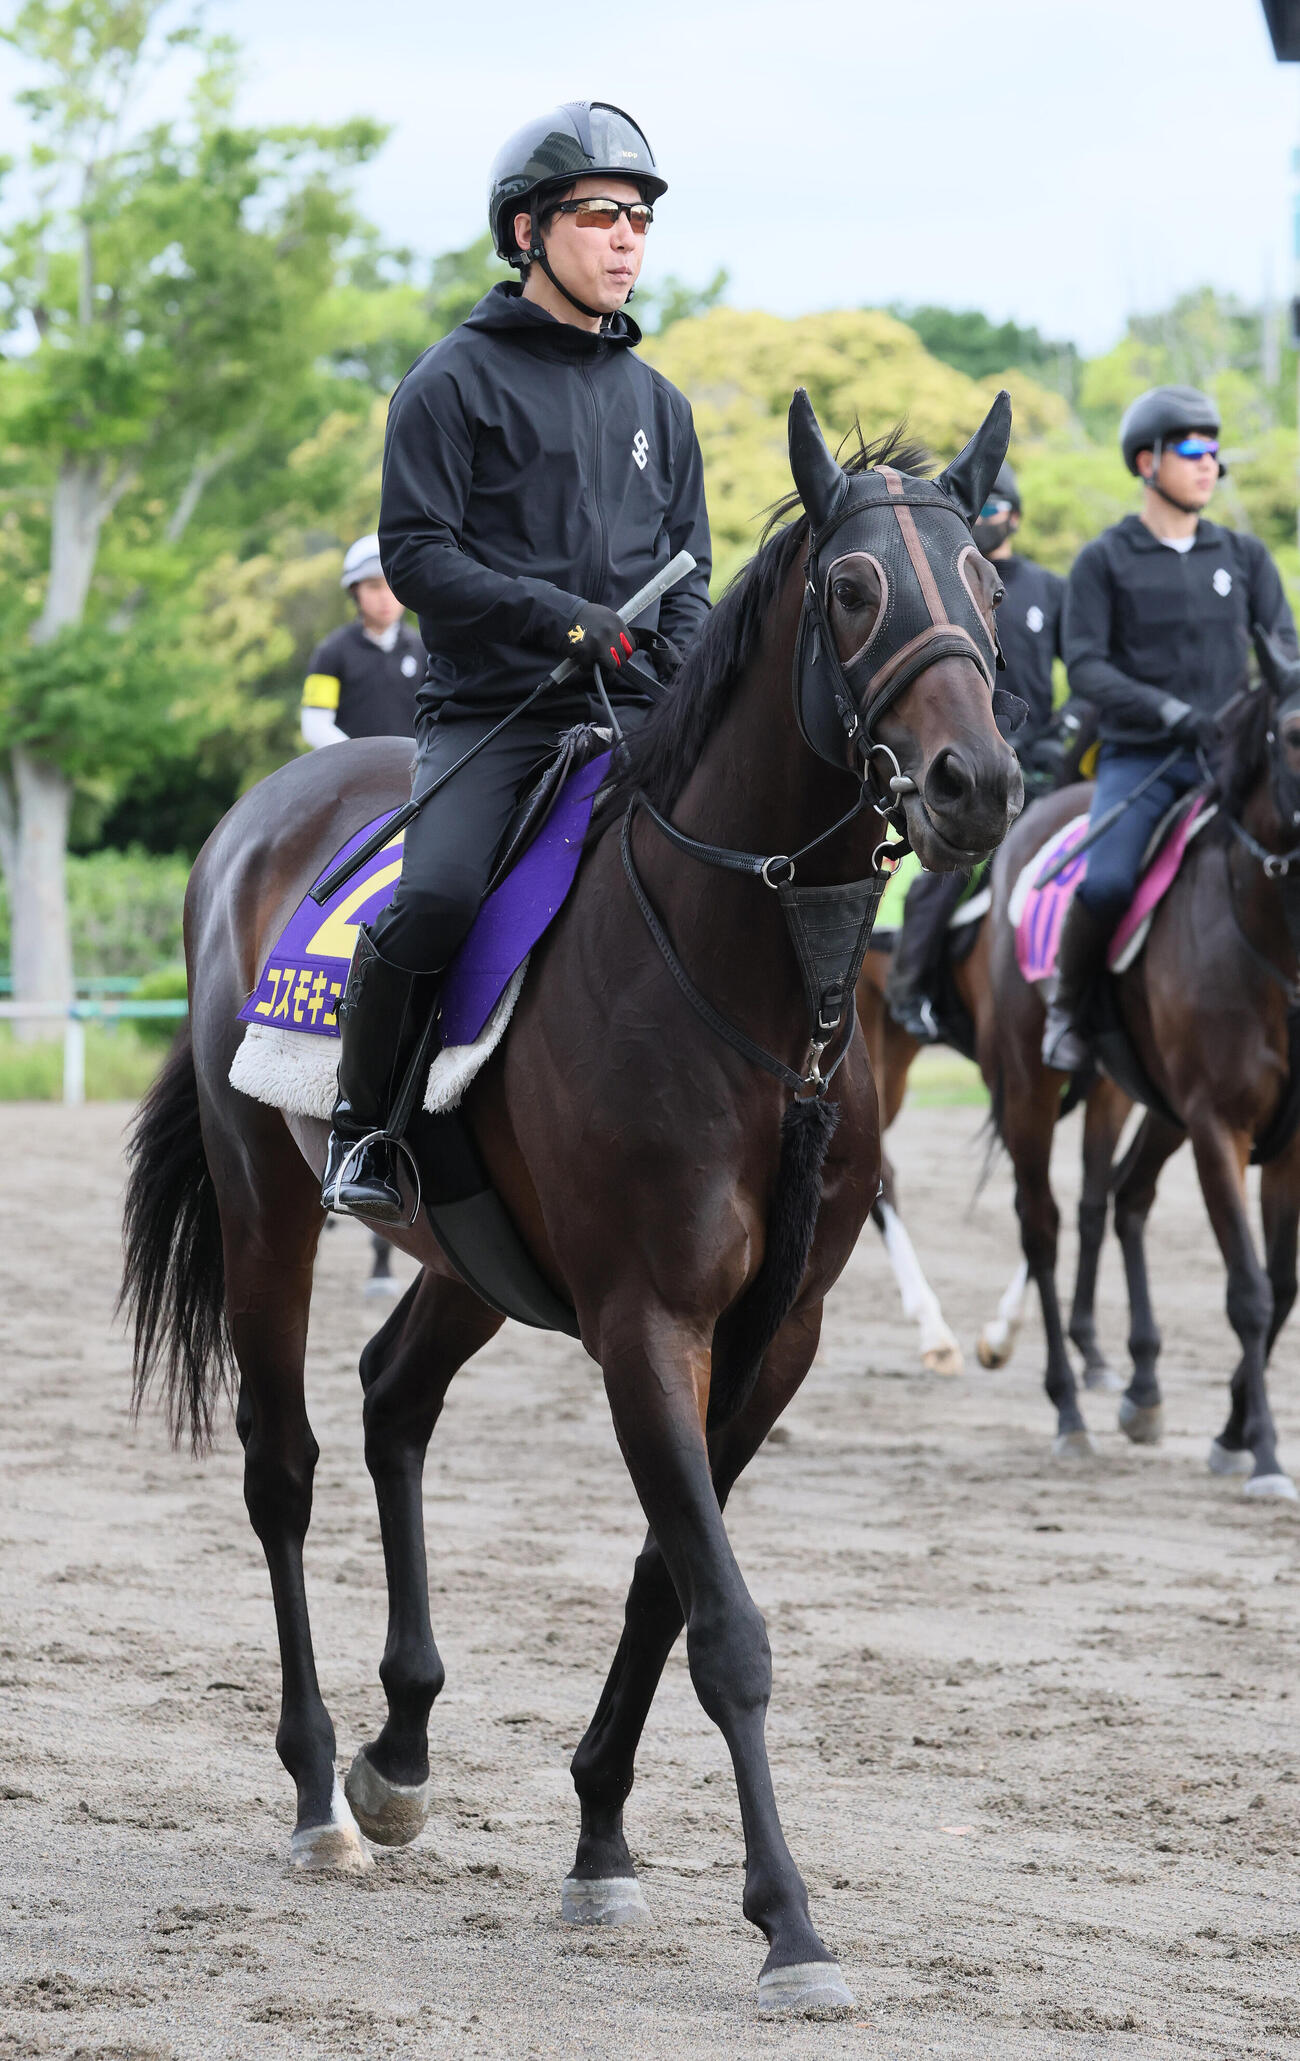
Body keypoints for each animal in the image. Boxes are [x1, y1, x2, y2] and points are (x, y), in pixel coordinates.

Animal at [120, 388, 1022, 2017]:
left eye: (987, 587)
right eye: (855, 589)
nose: (974, 783)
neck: (744, 982)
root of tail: (258, 813)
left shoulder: (773, 1337)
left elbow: (667, 1582)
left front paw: (601, 1834)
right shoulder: (644, 1319)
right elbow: (724, 1622)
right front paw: (790, 1922)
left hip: (467, 1253)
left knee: (391, 1396)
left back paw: (402, 1745)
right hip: (264, 1201)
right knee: (282, 1466)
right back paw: (319, 1790)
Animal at [973, 632, 1300, 1495]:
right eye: (1293, 733)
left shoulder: (1286, 1141)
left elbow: (1283, 1284)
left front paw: (1231, 1430)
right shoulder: (1220, 1126)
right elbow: (1250, 1292)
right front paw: (1261, 1451)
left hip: (1155, 1106)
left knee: (1124, 1198)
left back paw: (1142, 1388)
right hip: (1033, 1089)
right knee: (1044, 1227)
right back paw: (1069, 1409)